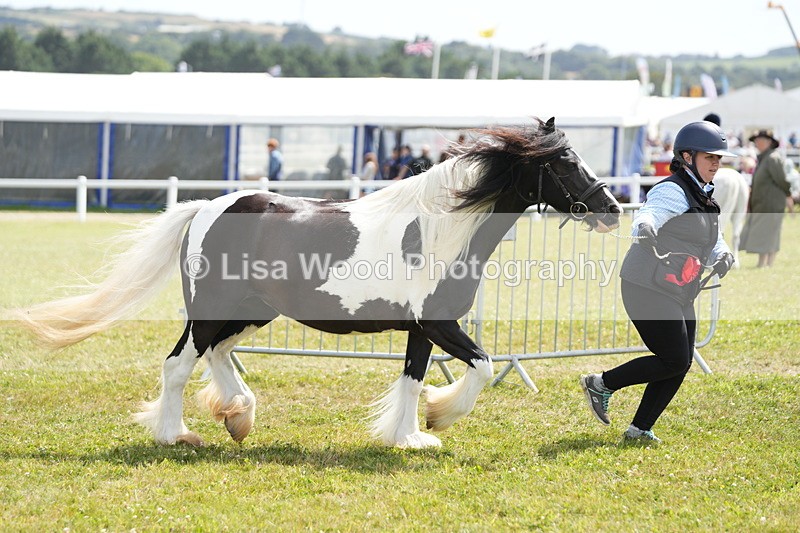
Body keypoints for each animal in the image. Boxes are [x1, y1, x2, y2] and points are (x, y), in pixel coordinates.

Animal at [18, 118, 622, 449]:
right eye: (565, 162)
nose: (612, 209)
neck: (441, 226)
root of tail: (206, 207)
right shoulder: (440, 323)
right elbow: (482, 366)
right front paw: (439, 417)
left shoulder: (422, 329)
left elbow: (411, 379)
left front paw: (409, 435)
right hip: (211, 311)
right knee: (179, 365)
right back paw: (178, 434)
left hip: (252, 312)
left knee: (218, 356)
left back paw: (238, 417)